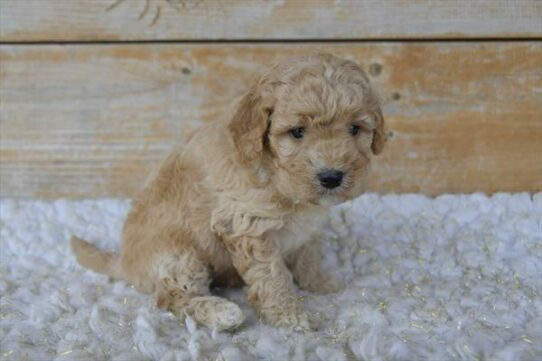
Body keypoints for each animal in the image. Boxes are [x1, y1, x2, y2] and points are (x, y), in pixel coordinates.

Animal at [72, 52, 386, 330]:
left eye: (355, 129)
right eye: (298, 132)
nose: (332, 177)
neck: (277, 176)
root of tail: (125, 262)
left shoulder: (306, 228)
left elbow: (308, 255)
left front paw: (320, 282)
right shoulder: (246, 225)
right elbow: (272, 276)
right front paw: (289, 315)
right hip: (181, 256)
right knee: (171, 296)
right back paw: (223, 314)